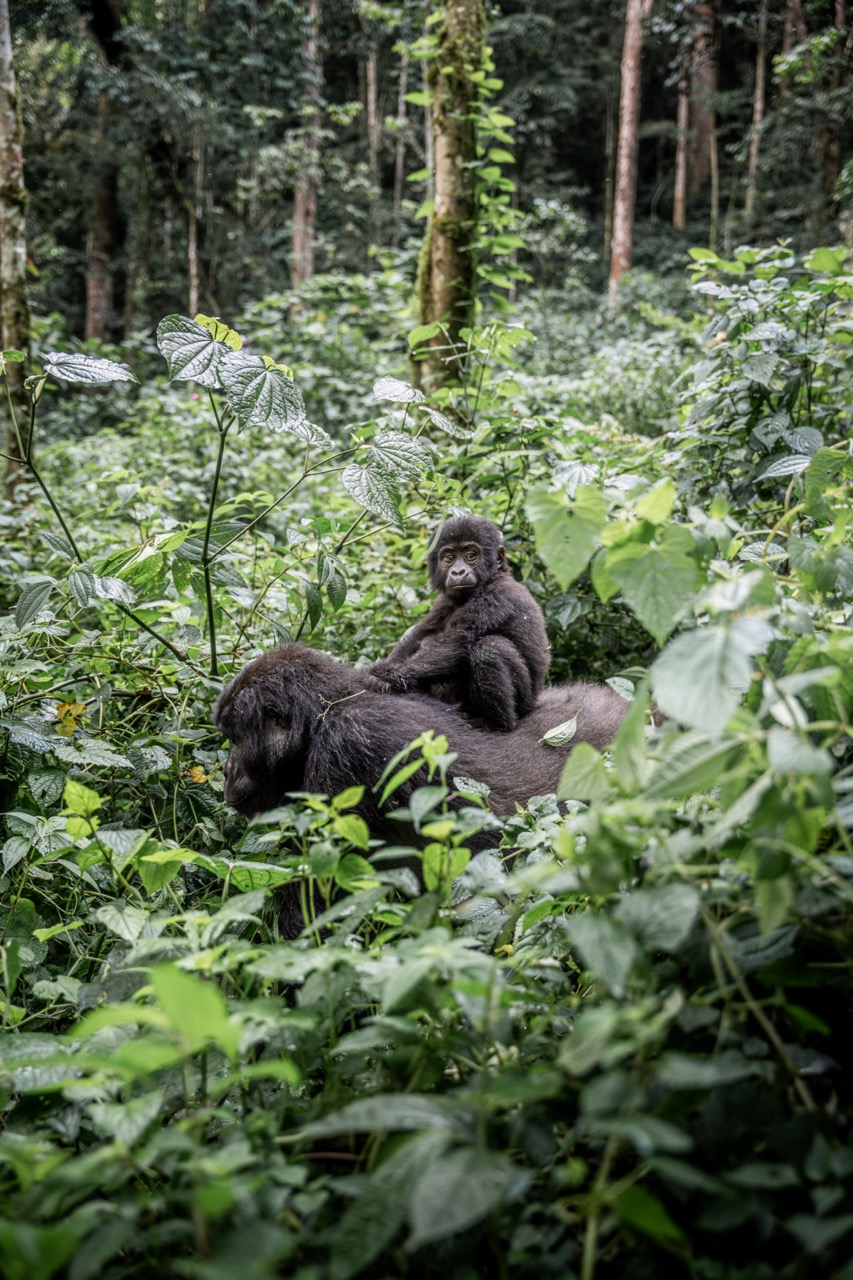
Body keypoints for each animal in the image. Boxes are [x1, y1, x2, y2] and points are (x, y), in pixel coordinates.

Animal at [365, 515, 550, 732]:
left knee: (490, 648)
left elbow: (456, 641)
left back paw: (495, 722)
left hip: (524, 704)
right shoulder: (444, 602)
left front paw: (384, 677)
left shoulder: (496, 595)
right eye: (449, 557)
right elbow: (418, 637)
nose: (458, 571)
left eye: (471, 555)